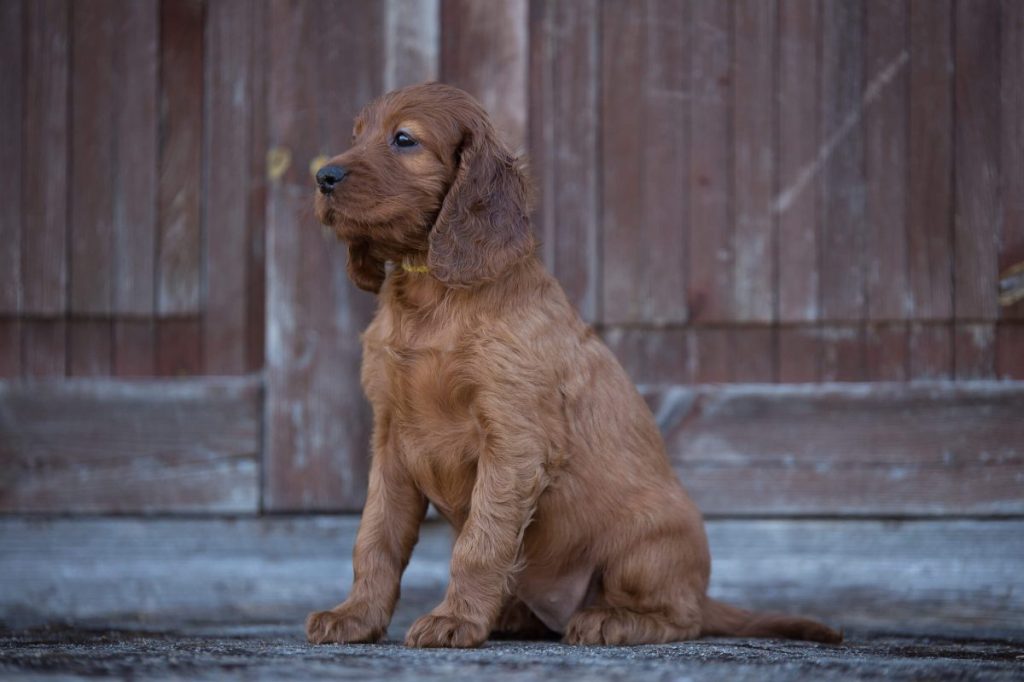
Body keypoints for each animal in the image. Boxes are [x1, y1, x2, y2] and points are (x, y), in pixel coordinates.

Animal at [305, 82, 839, 647]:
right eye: (356, 136)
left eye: (404, 139)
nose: (323, 176)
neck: (432, 295)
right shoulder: (391, 439)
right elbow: (375, 537)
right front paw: (355, 616)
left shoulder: (513, 440)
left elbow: (480, 543)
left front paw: (455, 620)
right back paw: (513, 614)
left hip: (643, 541)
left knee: (683, 617)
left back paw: (611, 620)